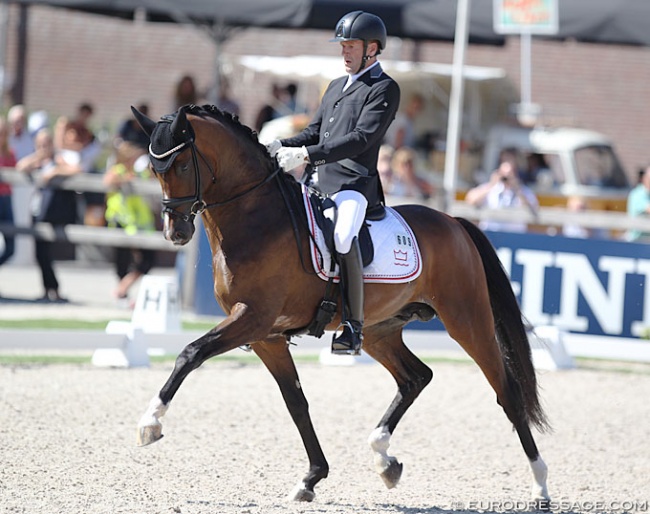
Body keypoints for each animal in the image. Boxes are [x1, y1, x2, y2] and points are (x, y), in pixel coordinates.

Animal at [133, 103, 552, 504]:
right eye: (154, 169)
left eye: (182, 164)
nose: (175, 232)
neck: (257, 219)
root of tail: (453, 221)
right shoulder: (267, 336)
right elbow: (296, 402)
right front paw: (311, 478)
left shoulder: (253, 318)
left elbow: (190, 353)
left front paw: (150, 423)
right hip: (380, 331)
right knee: (415, 377)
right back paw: (385, 458)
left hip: (468, 321)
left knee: (507, 393)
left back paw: (540, 486)